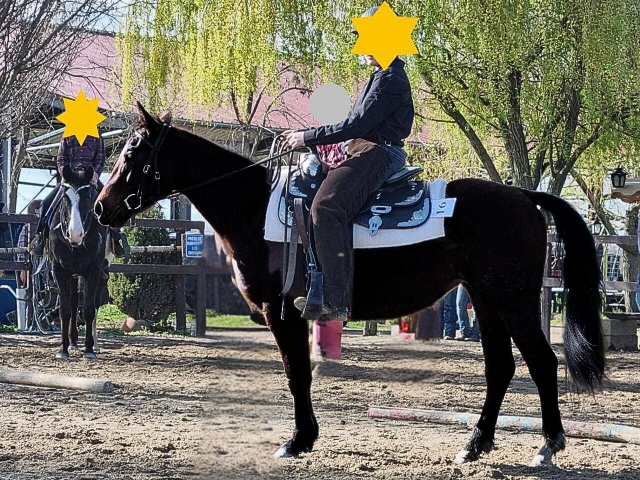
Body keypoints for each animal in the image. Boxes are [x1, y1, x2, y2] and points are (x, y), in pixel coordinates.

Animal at [50, 165, 108, 360]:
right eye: (64, 197)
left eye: (88, 197)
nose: (75, 234)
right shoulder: (59, 270)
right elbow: (65, 309)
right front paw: (63, 349)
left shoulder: (93, 271)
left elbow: (89, 309)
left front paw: (89, 349)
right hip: (73, 275)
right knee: (74, 302)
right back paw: (73, 341)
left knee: (94, 305)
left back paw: (94, 345)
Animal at [95, 102, 605, 466]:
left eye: (132, 153)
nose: (101, 208)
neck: (256, 209)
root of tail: (524, 196)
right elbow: (299, 373)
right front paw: (304, 438)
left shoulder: (282, 312)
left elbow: (297, 374)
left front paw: (297, 441)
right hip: (485, 299)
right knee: (500, 368)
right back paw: (474, 445)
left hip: (511, 299)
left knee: (540, 362)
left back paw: (548, 445)